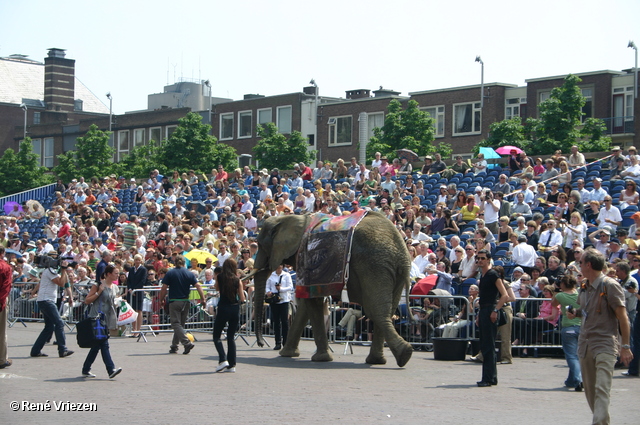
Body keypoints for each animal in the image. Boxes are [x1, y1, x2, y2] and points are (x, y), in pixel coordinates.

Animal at [252, 212, 412, 368]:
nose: (260, 344)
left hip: (373, 266)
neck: (294, 218)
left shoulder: (305, 259)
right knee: (387, 310)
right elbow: (305, 305)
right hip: (391, 269)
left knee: (375, 311)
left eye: (260, 244)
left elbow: (311, 302)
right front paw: (287, 354)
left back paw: (403, 354)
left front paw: (320, 358)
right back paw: (383, 359)